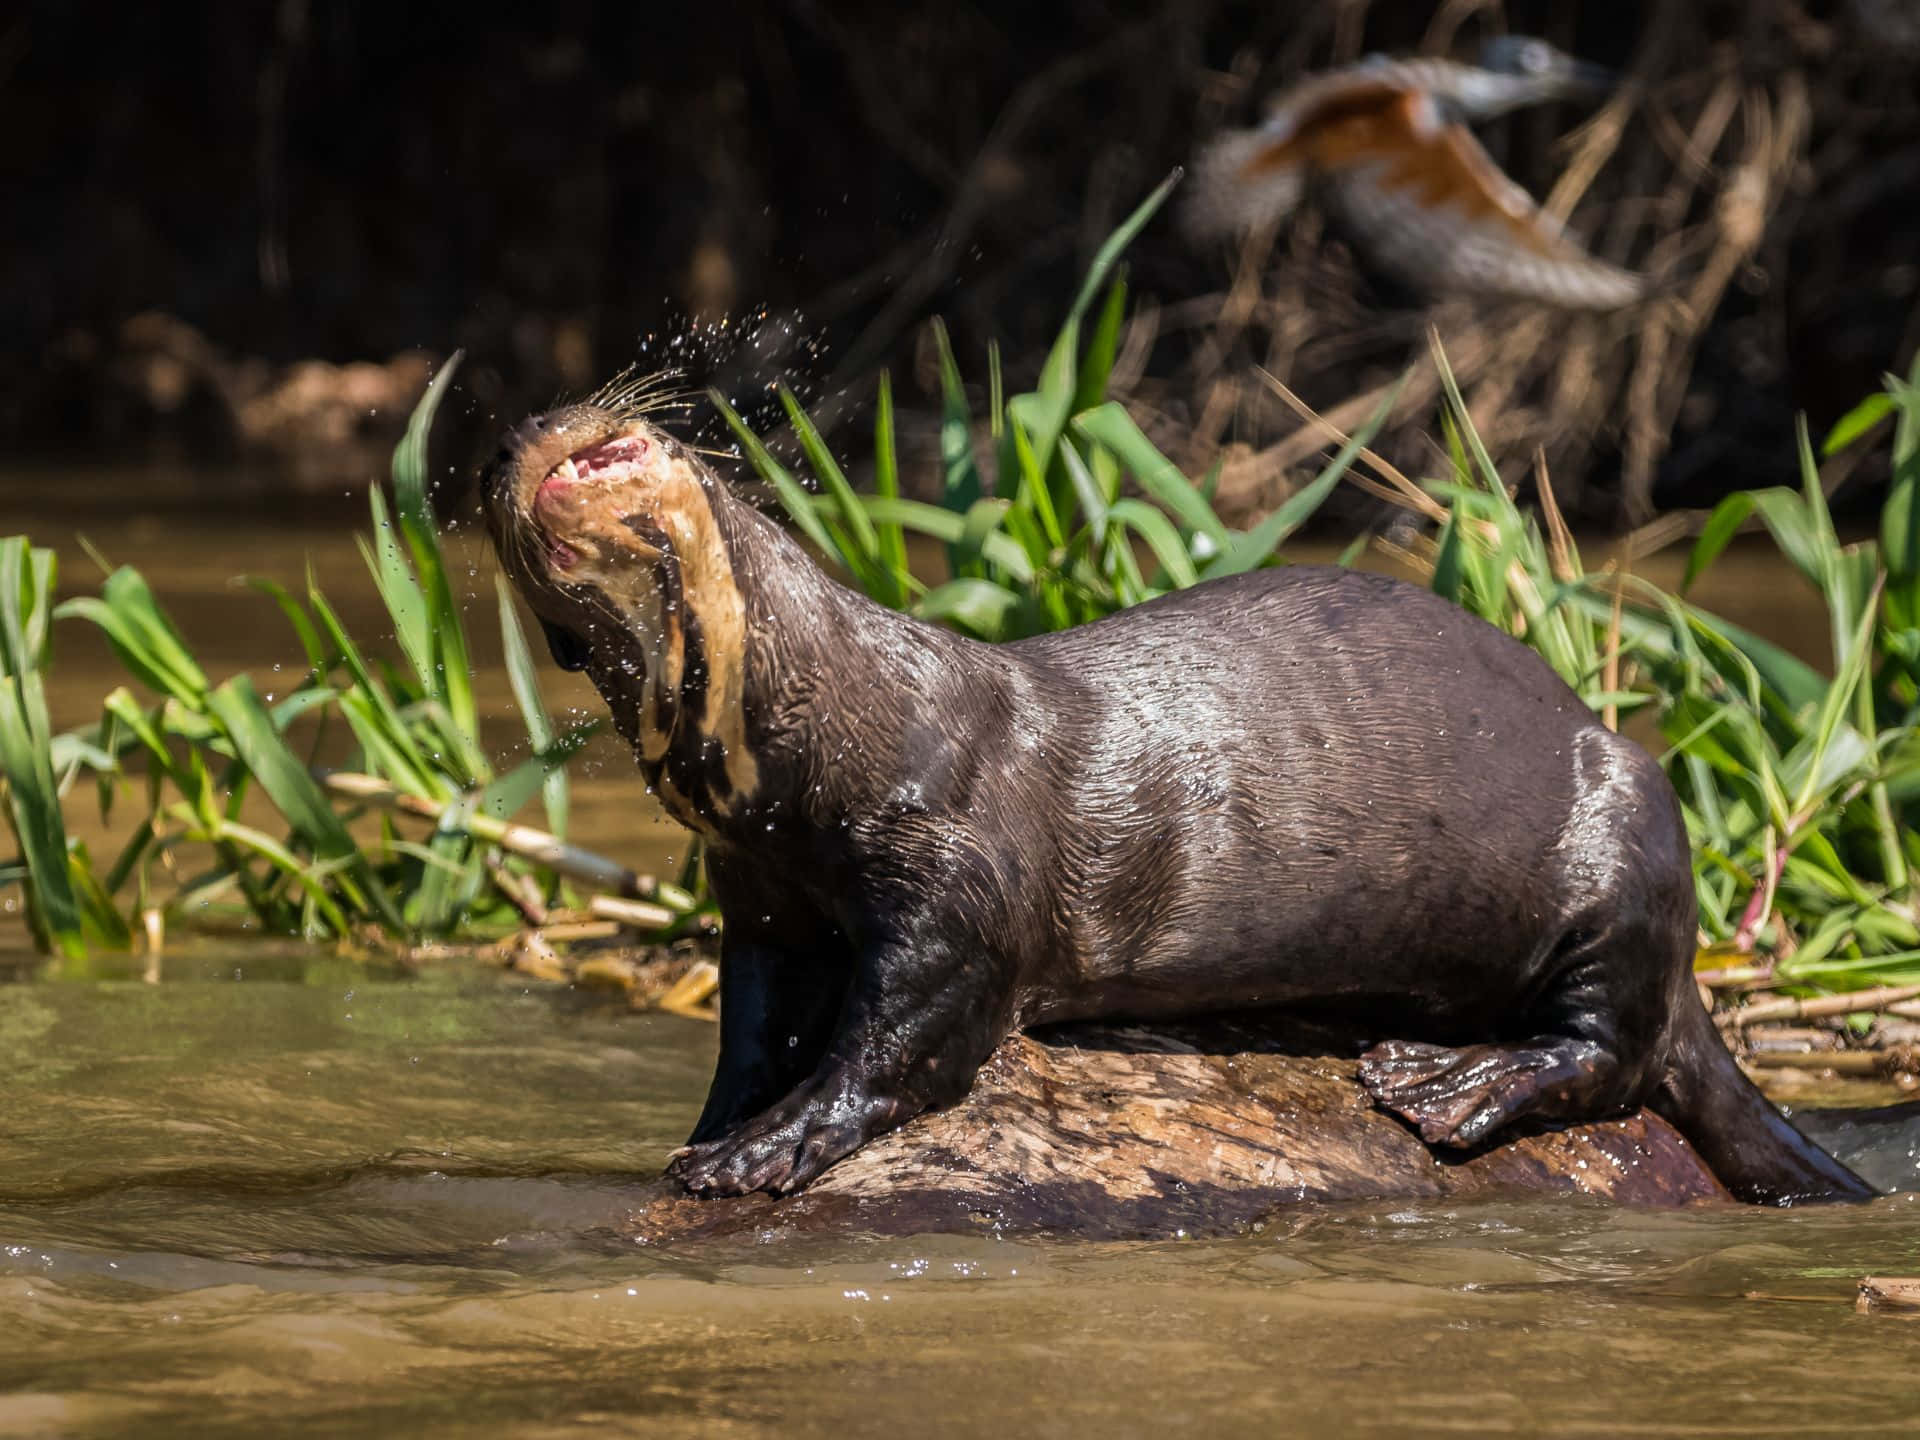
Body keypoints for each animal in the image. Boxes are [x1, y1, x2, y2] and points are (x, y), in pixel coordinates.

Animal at [480, 395, 1873, 1205]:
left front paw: (770, 1147)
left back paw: (1447, 1083)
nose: (525, 424)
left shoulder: (954, 871)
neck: (838, 732)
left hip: (1627, 833)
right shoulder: (762, 894)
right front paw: (709, 1131)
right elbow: (753, 1027)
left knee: (1616, 1050)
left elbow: (905, 1038)